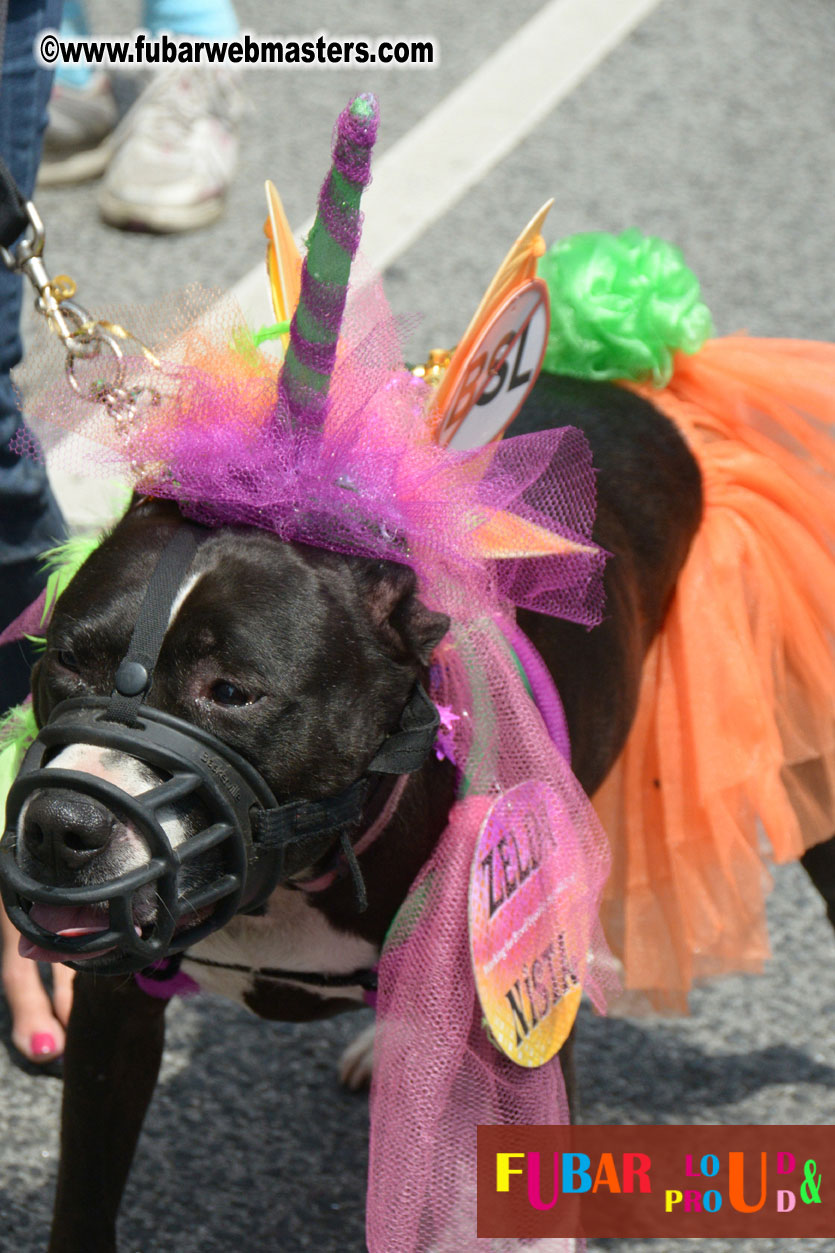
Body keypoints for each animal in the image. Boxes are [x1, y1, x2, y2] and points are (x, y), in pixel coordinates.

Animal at [11, 373, 832, 1253]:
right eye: (66, 657)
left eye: (231, 691)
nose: (60, 823)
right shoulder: (111, 1020)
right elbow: (83, 1195)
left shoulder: (523, 1021)